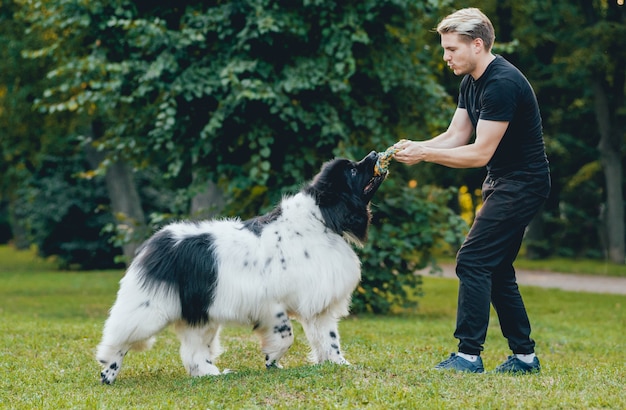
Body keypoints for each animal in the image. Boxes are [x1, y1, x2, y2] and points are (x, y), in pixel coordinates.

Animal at [96, 151, 386, 384]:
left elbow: (329, 339)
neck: (321, 220)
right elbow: (286, 335)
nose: (374, 154)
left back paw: (210, 375)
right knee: (117, 338)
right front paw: (272, 360)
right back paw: (108, 374)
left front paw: (339, 365)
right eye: (352, 170)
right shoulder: (271, 303)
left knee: (194, 352)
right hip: (149, 309)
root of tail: (154, 242)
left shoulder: (319, 304)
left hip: (200, 314)